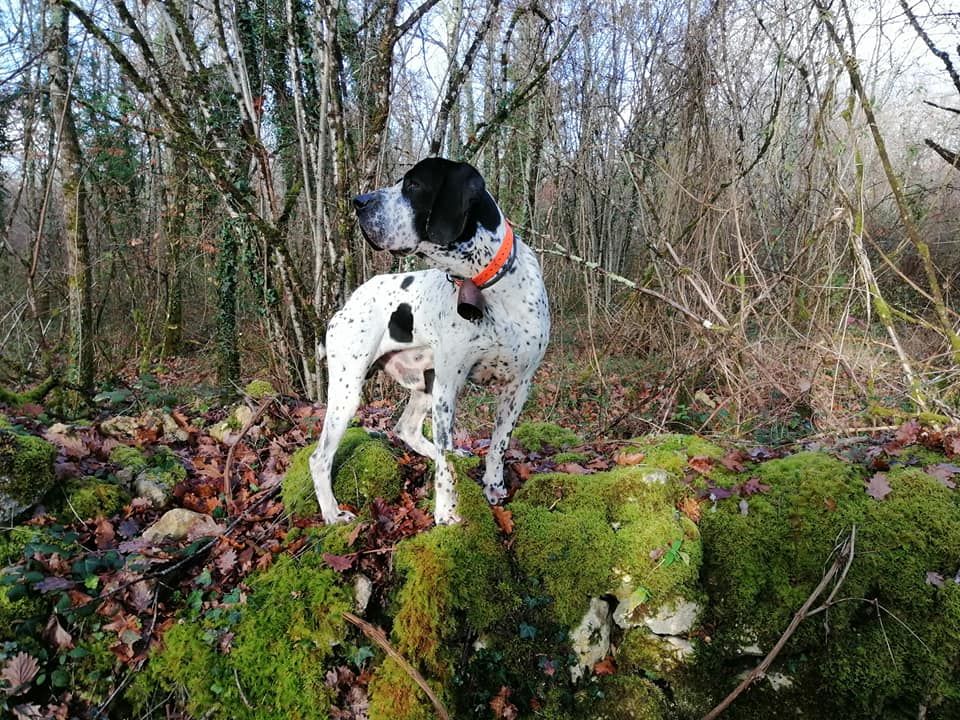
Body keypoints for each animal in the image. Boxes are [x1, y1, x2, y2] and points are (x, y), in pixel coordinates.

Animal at [312, 159, 552, 524]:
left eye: (413, 185)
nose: (359, 201)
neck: (484, 285)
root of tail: (345, 306)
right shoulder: (449, 385)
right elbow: (446, 464)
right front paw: (447, 512)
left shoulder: (518, 385)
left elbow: (498, 444)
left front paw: (493, 485)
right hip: (349, 391)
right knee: (321, 457)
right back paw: (332, 513)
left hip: (426, 382)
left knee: (408, 430)